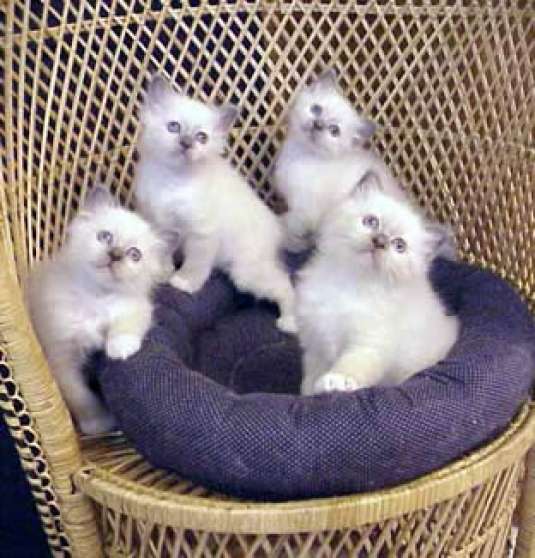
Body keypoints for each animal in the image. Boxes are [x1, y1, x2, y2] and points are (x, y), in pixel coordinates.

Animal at [26, 188, 165, 438]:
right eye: (105, 237)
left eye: (135, 255)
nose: (115, 254)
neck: (94, 297)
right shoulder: (61, 357)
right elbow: (80, 397)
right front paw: (98, 424)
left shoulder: (136, 306)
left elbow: (127, 324)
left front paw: (120, 349)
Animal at [134, 74, 298, 332]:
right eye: (174, 127)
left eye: (202, 137)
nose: (186, 143)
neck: (171, 181)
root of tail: (276, 228)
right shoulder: (159, 225)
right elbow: (163, 251)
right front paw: (162, 271)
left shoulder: (202, 233)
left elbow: (196, 263)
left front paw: (184, 281)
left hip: (246, 272)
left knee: (284, 283)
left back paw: (290, 321)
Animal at [274, 69, 404, 252]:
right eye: (316, 109)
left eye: (334, 131)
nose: (318, 124)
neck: (300, 153)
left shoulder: (304, 211)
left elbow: (289, 225)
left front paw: (288, 237)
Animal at [298, 173, 460, 396]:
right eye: (371, 221)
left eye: (399, 245)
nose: (380, 241)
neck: (350, 281)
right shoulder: (316, 344)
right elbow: (311, 376)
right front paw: (309, 393)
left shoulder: (368, 345)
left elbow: (350, 366)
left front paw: (335, 381)